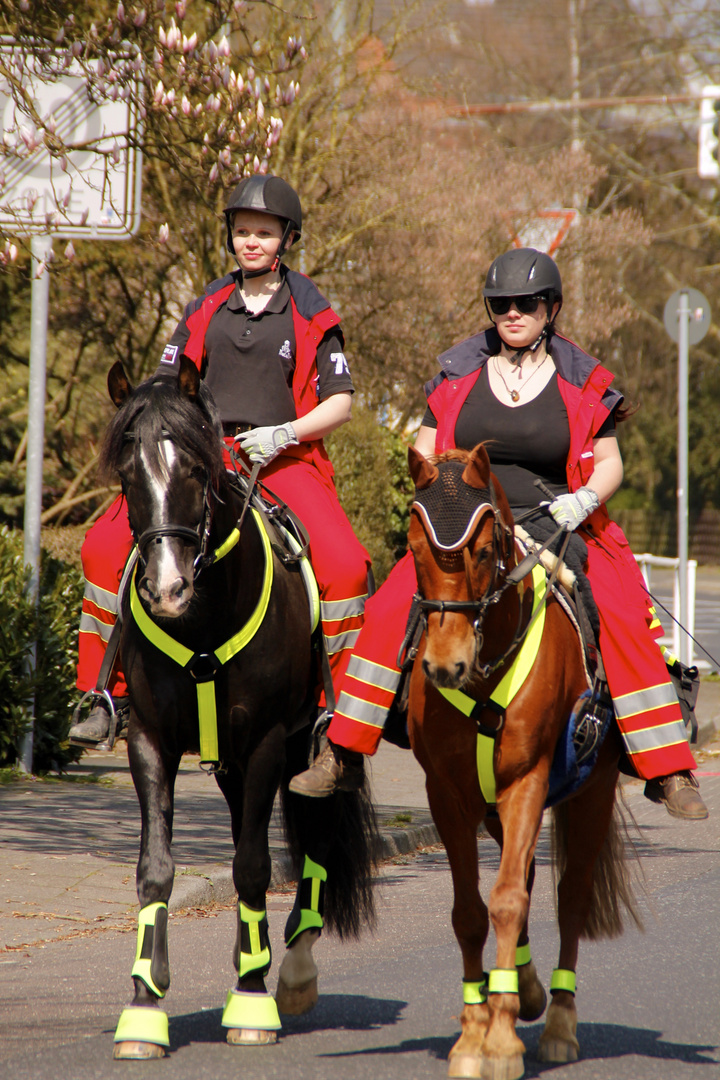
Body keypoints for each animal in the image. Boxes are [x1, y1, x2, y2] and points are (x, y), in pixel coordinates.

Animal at [104, 356, 379, 1062]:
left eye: (196, 470)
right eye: (127, 472)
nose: (166, 588)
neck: (204, 615)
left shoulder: (266, 742)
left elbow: (255, 868)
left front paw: (252, 1002)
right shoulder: (150, 741)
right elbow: (155, 870)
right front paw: (143, 1007)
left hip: (309, 751)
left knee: (313, 840)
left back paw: (294, 971)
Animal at [408, 444, 639, 1080]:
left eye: (485, 551)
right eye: (413, 549)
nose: (445, 666)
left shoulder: (527, 784)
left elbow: (508, 901)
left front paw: (503, 1040)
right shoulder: (450, 795)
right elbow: (471, 910)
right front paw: (474, 1034)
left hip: (589, 793)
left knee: (570, 895)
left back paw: (558, 1020)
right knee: (531, 880)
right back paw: (526, 988)